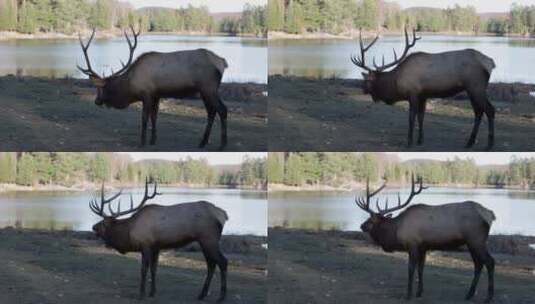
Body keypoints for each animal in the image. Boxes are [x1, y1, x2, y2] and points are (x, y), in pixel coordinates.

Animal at [78, 26, 229, 150]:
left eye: (102, 88)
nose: (96, 101)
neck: (131, 85)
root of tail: (222, 62)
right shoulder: (156, 95)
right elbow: (154, 116)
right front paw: (152, 140)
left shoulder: (146, 94)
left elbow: (144, 118)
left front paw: (142, 142)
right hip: (205, 91)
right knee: (211, 112)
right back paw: (202, 142)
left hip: (208, 88)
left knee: (222, 110)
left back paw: (222, 145)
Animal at [88, 179, 230, 300]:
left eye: (102, 223)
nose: (93, 226)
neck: (129, 232)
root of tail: (223, 215)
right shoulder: (156, 247)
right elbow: (154, 269)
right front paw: (152, 292)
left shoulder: (145, 245)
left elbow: (143, 270)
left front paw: (141, 294)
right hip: (204, 241)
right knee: (211, 264)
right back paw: (202, 295)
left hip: (209, 239)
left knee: (222, 262)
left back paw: (221, 297)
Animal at [352, 27, 498, 150]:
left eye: (367, 80)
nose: (362, 89)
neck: (396, 83)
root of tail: (491, 63)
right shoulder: (423, 95)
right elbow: (421, 117)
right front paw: (420, 140)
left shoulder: (413, 93)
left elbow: (411, 117)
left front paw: (409, 142)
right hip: (471, 90)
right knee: (478, 112)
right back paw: (470, 142)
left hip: (476, 86)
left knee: (490, 110)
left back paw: (489, 145)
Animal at [356, 175, 498, 302]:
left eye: (370, 221)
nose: (361, 225)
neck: (396, 231)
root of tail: (490, 214)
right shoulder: (423, 247)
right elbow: (421, 269)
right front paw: (419, 292)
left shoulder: (412, 245)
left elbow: (411, 269)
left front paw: (408, 295)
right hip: (471, 243)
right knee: (478, 264)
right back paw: (469, 295)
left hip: (476, 240)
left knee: (489, 262)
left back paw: (488, 297)